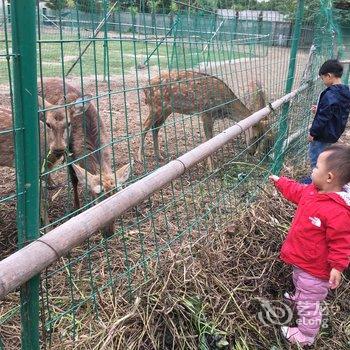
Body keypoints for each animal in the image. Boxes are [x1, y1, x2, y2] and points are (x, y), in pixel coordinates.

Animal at [38, 79, 131, 238]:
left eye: (117, 197)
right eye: (96, 197)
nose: (109, 233)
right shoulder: (70, 156)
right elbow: (75, 180)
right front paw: (77, 209)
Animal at [138, 69, 266, 168]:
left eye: (262, 137)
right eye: (255, 135)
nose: (252, 152)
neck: (224, 106)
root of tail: (145, 88)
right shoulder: (206, 112)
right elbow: (209, 139)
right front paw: (211, 167)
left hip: (167, 110)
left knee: (155, 127)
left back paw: (159, 156)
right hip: (156, 106)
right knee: (144, 127)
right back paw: (140, 158)